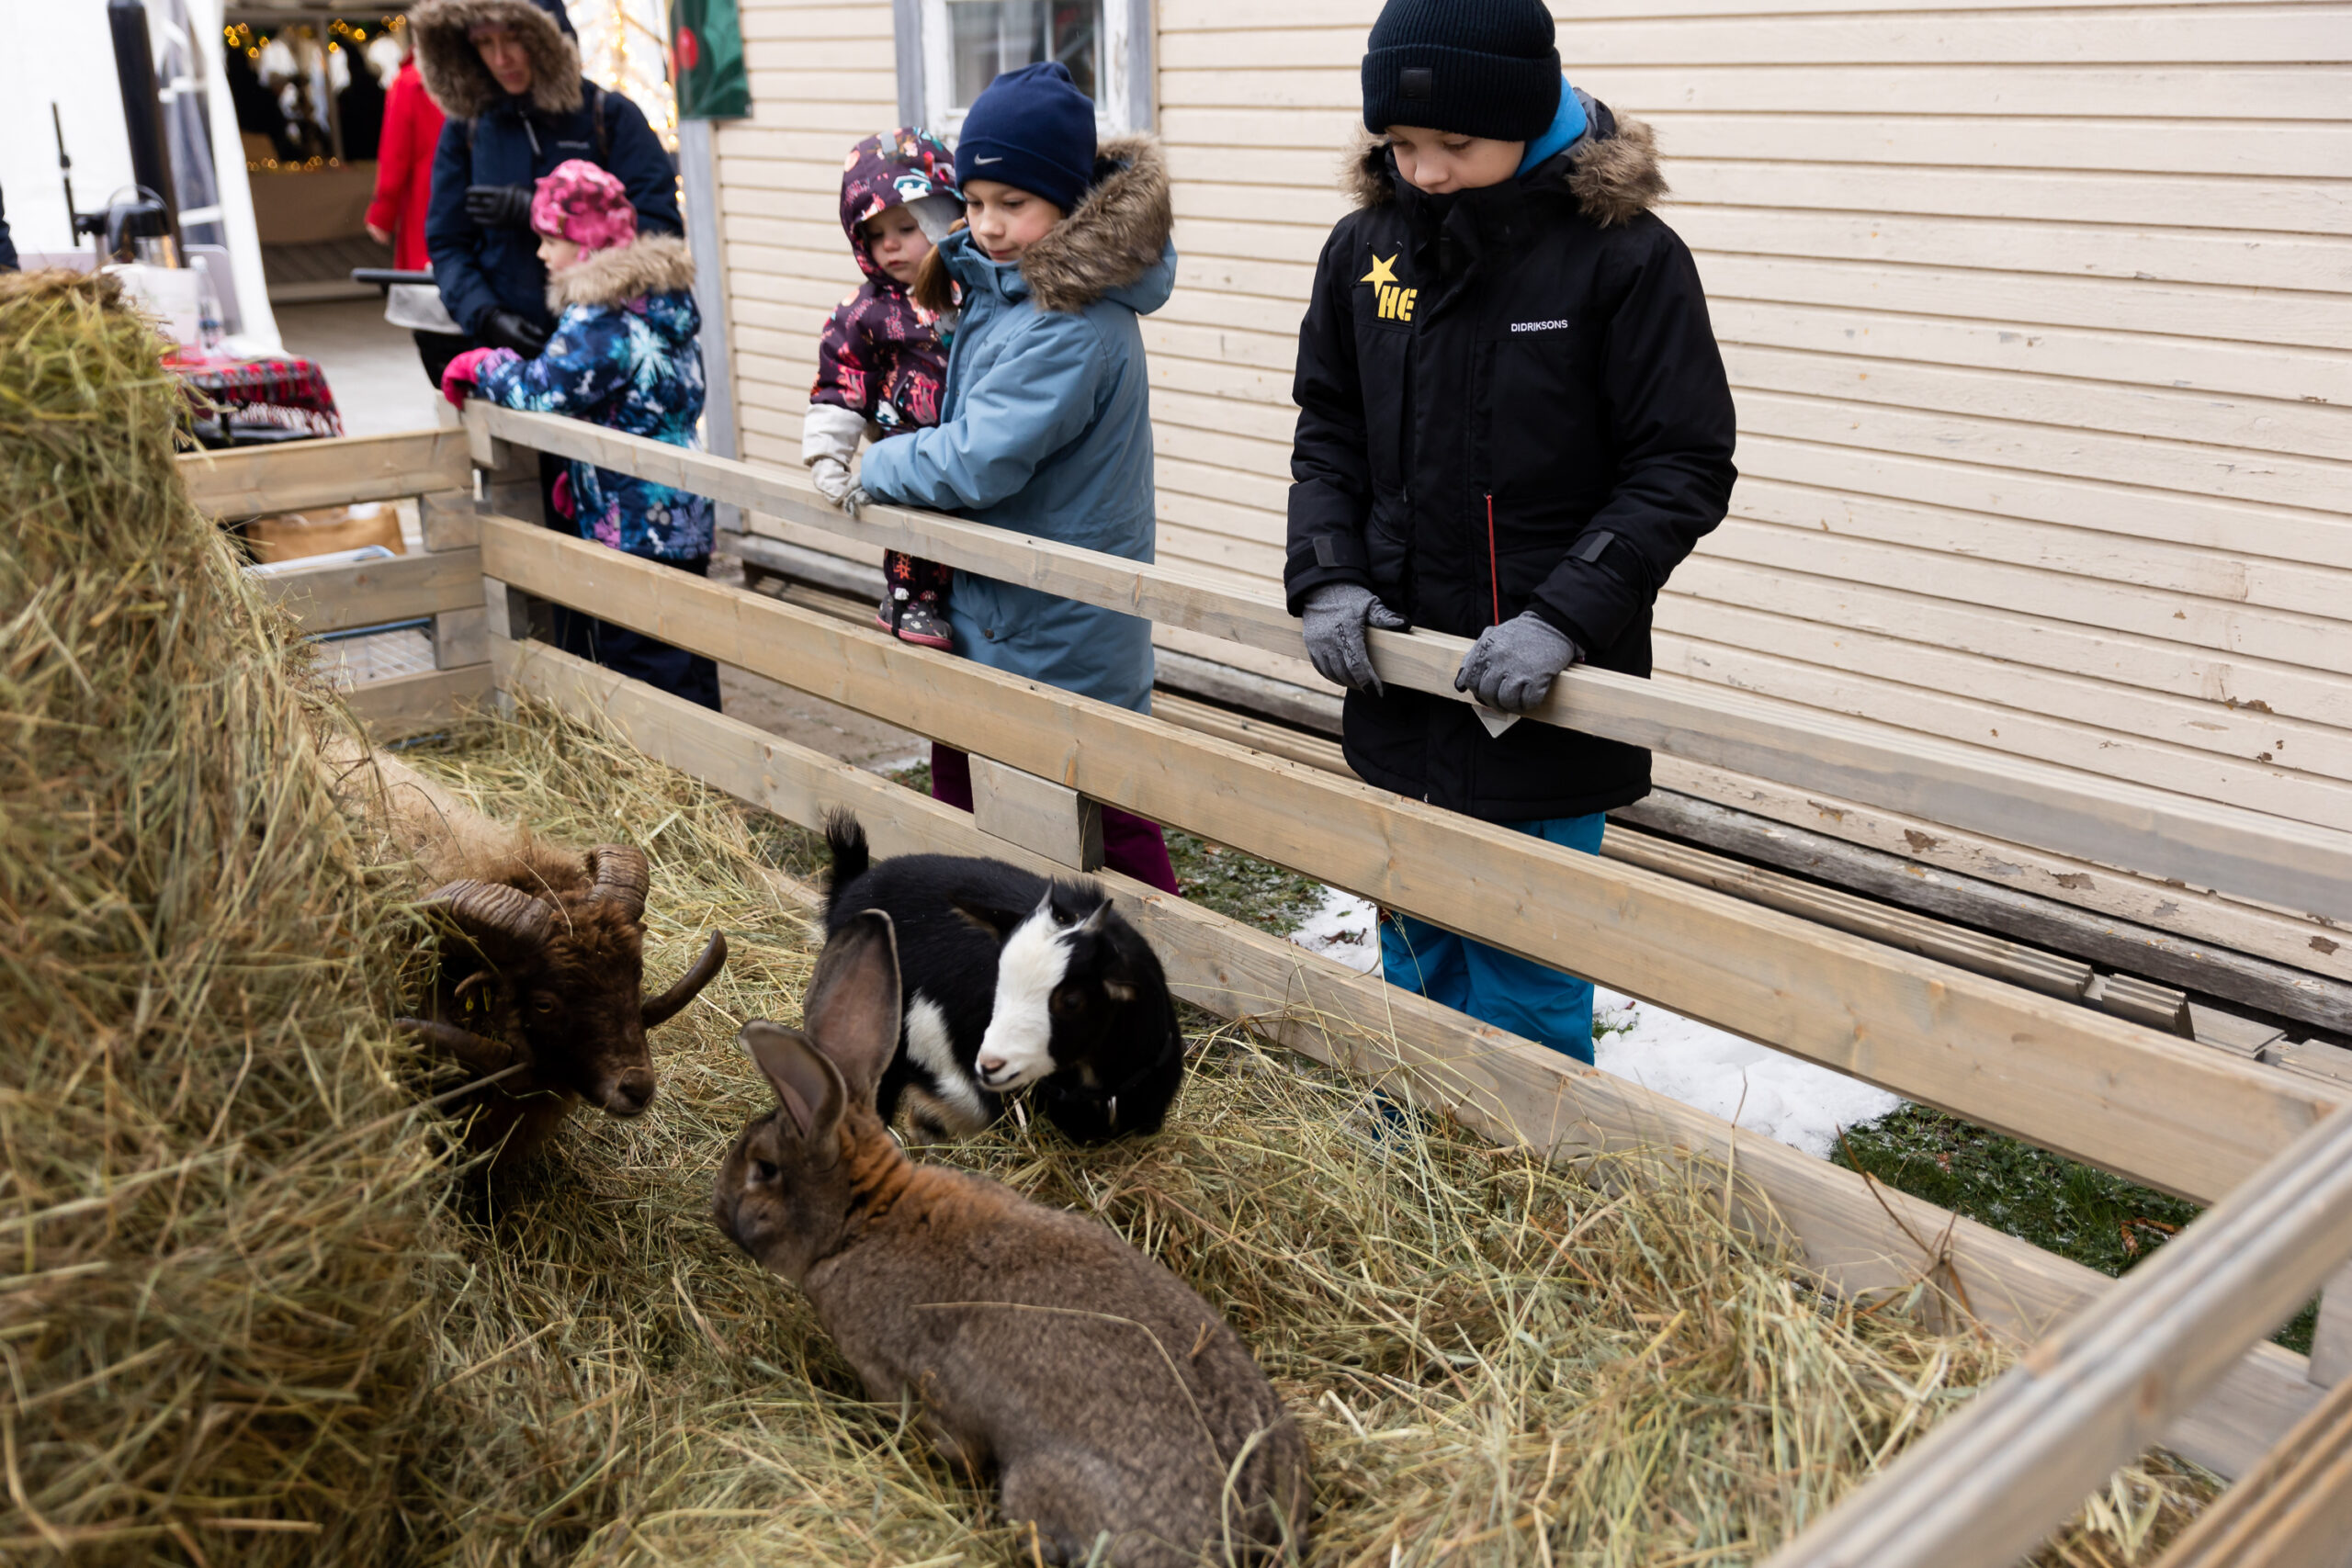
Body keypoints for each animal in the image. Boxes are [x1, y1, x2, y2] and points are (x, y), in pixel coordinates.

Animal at [706, 911, 1317, 1561]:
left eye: (764, 1170)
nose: (718, 1207)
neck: (865, 1216)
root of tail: (1252, 1539)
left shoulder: (899, 1379)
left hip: (1038, 1486)